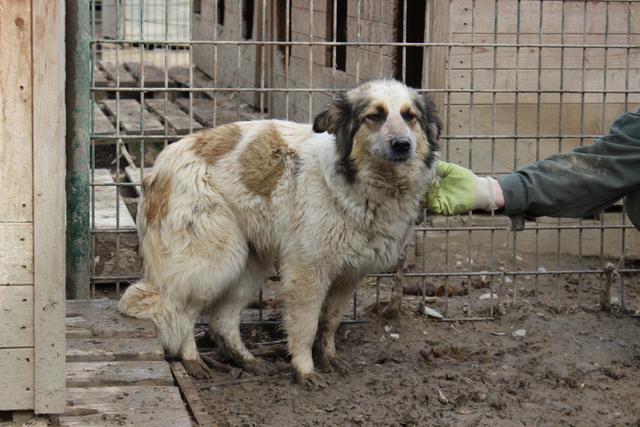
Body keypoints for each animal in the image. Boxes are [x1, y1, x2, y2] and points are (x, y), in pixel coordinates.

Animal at [119, 78, 440, 390]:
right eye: (375, 116)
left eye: (410, 116)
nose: (402, 145)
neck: (360, 185)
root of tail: (156, 170)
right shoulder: (307, 272)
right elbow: (307, 327)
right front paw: (304, 370)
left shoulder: (349, 276)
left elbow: (331, 322)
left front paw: (328, 358)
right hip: (217, 259)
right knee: (180, 310)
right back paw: (192, 359)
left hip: (249, 262)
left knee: (221, 321)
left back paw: (246, 360)